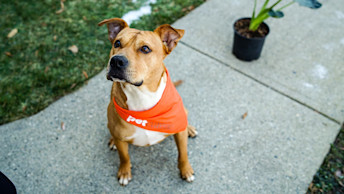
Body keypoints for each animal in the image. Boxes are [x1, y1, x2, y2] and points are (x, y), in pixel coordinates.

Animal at [98, 18, 198, 186]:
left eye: (145, 49)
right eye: (117, 43)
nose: (116, 61)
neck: (140, 95)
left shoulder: (179, 132)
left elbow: (183, 153)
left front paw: (186, 170)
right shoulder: (121, 139)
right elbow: (124, 157)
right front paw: (124, 171)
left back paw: (189, 128)